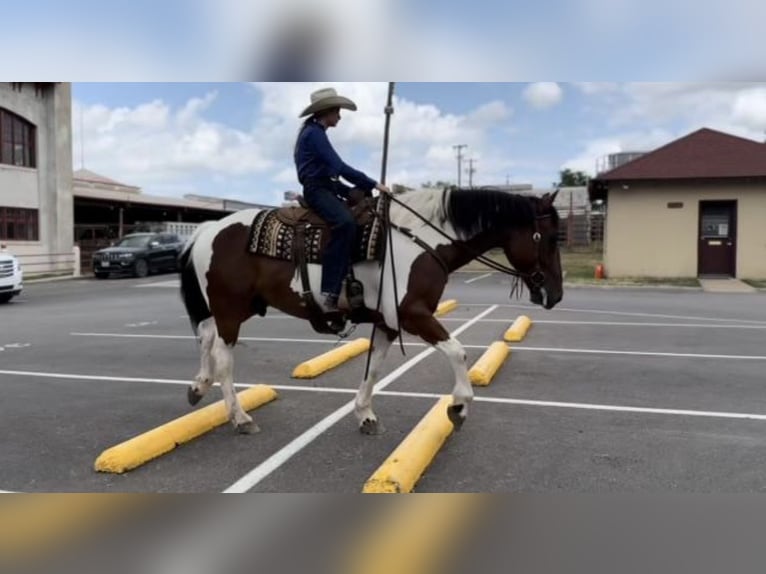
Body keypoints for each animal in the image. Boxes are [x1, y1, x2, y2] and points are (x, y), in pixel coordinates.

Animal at [178, 189, 564, 436]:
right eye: (549, 238)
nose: (556, 294)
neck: (419, 241)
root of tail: (207, 229)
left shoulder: (388, 323)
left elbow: (375, 367)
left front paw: (364, 414)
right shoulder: (413, 315)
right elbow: (457, 351)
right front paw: (459, 407)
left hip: (237, 307)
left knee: (207, 334)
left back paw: (199, 386)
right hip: (231, 308)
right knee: (223, 356)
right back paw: (240, 417)